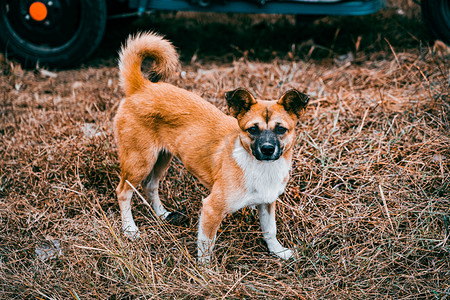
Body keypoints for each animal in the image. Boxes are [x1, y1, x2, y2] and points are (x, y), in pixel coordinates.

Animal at [114, 32, 308, 262]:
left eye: (281, 129)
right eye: (252, 129)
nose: (268, 149)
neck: (260, 167)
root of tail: (142, 87)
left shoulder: (267, 202)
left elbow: (270, 230)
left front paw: (278, 251)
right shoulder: (211, 209)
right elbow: (206, 245)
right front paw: (205, 269)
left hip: (162, 158)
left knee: (150, 185)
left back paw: (162, 214)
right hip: (139, 161)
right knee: (123, 192)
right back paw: (130, 229)